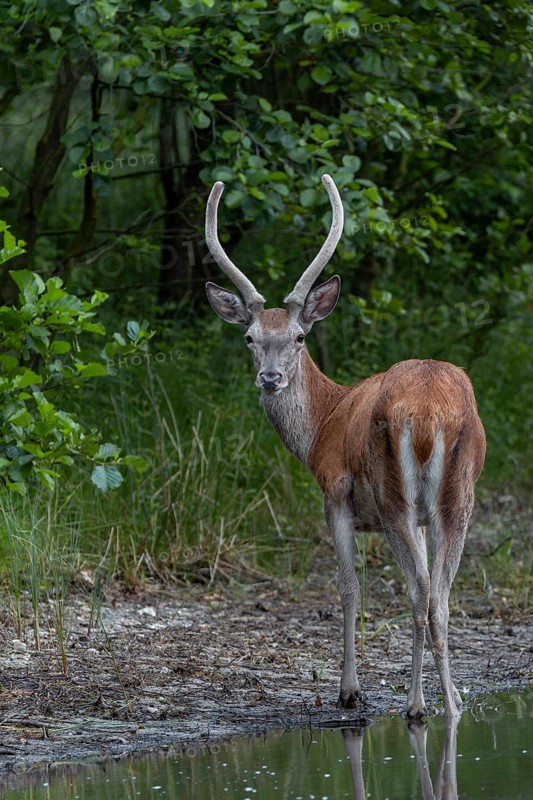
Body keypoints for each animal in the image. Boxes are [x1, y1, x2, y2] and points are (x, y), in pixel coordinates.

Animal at [204, 174, 486, 718]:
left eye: (298, 336)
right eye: (250, 337)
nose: (270, 379)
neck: (323, 425)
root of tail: (429, 413)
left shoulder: (334, 489)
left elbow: (349, 586)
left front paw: (349, 690)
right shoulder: (422, 518)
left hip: (394, 494)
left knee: (421, 593)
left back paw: (417, 705)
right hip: (457, 497)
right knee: (439, 596)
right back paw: (451, 704)